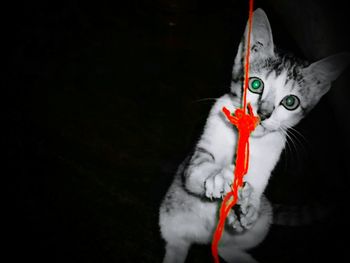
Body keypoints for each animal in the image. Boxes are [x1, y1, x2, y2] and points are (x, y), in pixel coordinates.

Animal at [159, 8, 350, 263]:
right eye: (256, 84)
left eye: (290, 102)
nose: (264, 113)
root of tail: (206, 240)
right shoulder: (194, 160)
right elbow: (197, 171)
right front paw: (219, 176)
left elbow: (252, 196)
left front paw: (247, 207)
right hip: (170, 217)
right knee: (177, 244)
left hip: (263, 220)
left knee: (226, 248)